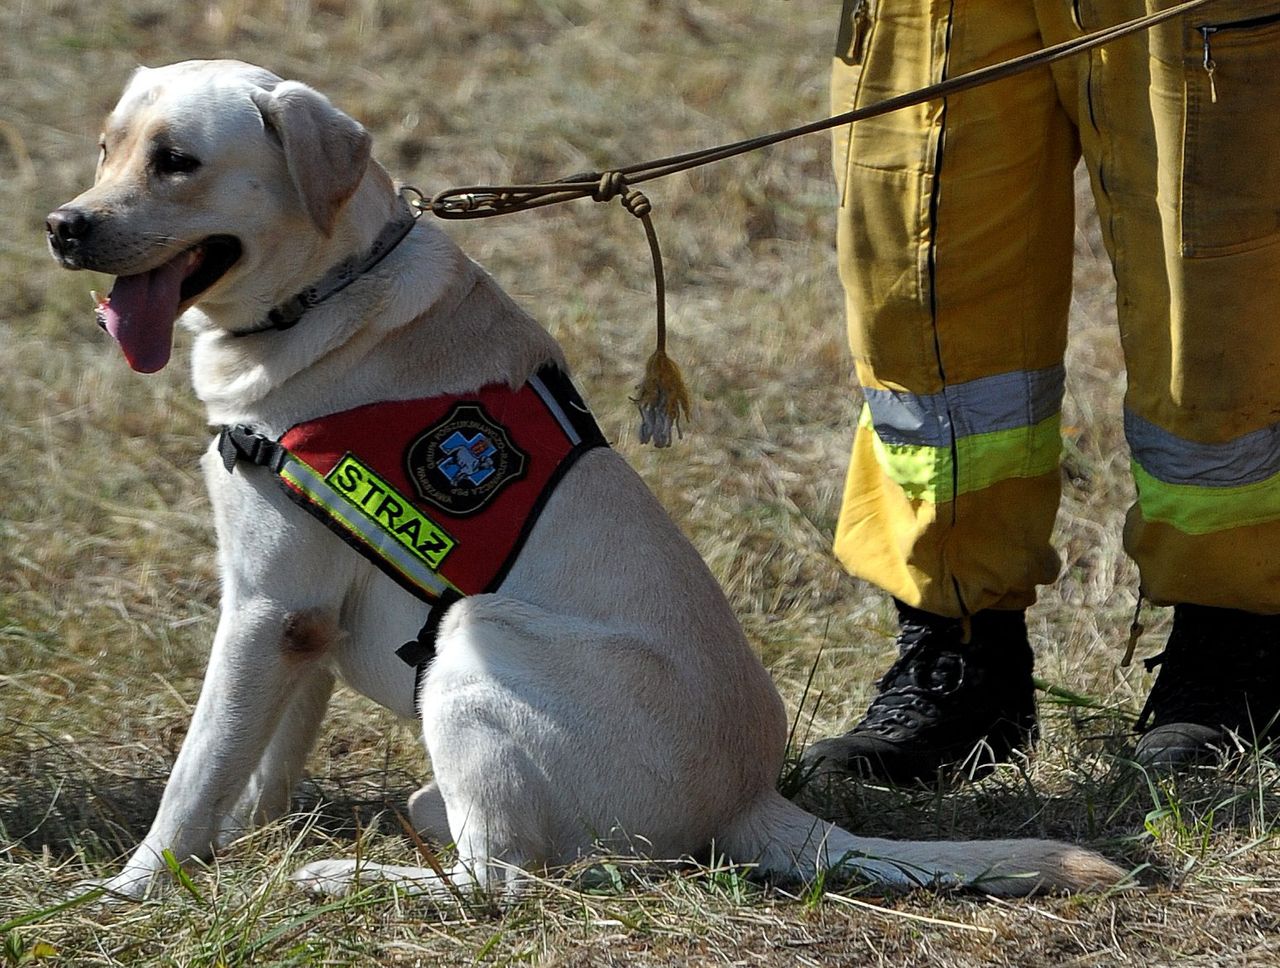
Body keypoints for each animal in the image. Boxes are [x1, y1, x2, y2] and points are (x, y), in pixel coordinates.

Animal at [45, 62, 1121, 901]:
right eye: (105, 147)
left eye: (177, 160)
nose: (63, 226)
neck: (330, 290)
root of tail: (751, 797)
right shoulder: (299, 624)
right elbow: (258, 765)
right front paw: (240, 844)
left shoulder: (263, 609)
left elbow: (195, 770)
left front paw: (135, 886)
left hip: (470, 642)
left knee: (502, 879)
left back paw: (354, 878)